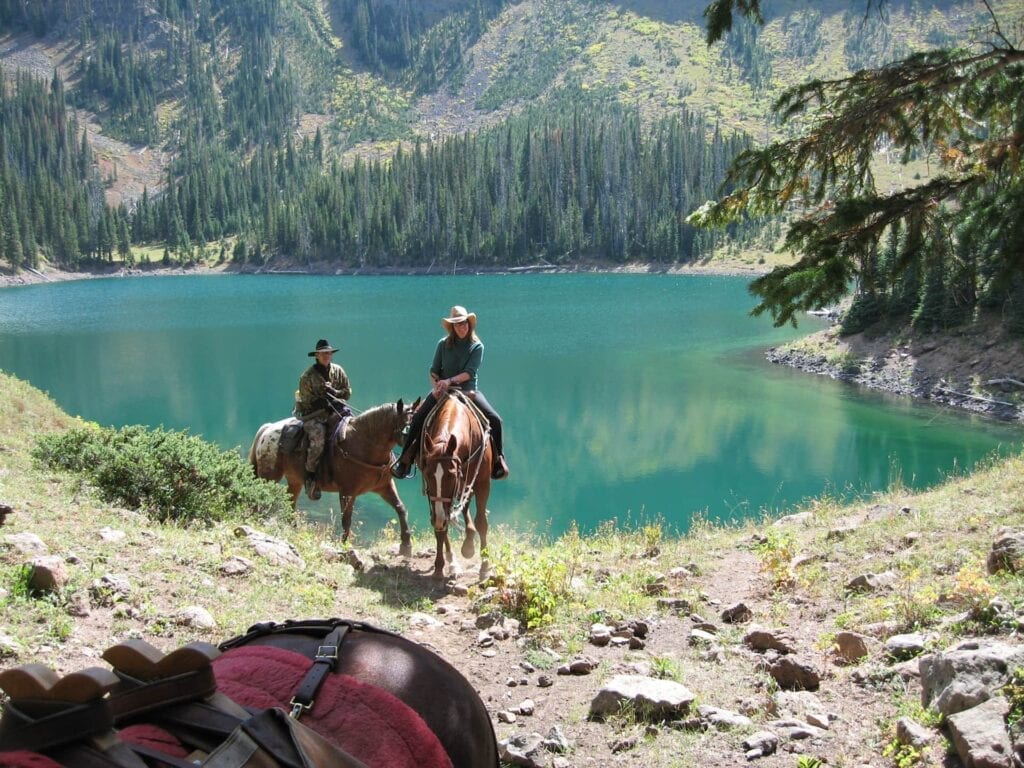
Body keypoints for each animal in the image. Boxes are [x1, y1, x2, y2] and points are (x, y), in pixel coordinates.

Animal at [246, 399, 415, 557]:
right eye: (408, 427)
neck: (363, 445)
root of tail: (267, 429)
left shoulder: (384, 487)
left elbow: (401, 508)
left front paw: (406, 545)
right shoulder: (347, 492)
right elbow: (346, 520)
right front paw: (344, 546)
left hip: (294, 481)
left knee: (290, 504)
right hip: (269, 477)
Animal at [419, 393, 491, 581]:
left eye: (451, 475)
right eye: (427, 474)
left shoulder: (483, 483)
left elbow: (482, 522)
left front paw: (485, 567)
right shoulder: (437, 500)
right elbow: (441, 526)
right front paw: (439, 567)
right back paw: (454, 562)